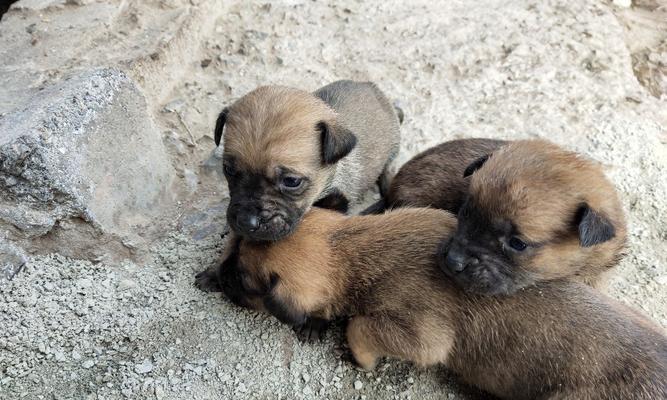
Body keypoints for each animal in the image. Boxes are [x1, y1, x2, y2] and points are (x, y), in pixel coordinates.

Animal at [220, 209, 667, 400]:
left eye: (243, 279)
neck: (355, 249)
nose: (215, 277)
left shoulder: (423, 337)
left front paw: (358, 357)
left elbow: (359, 325)